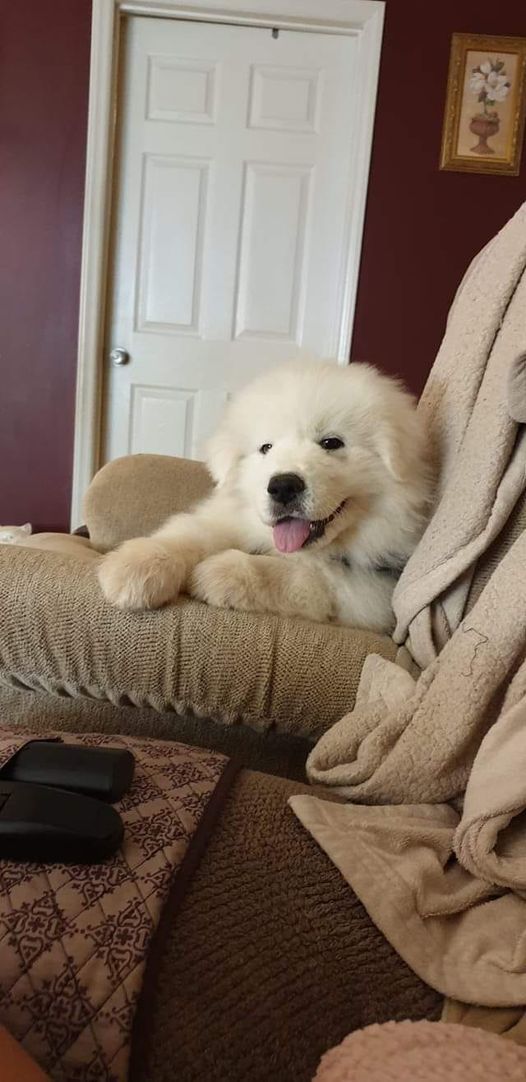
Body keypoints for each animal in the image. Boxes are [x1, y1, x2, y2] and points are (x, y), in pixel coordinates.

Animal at [98, 363, 430, 631]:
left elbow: (301, 575)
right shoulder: (228, 519)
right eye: (266, 448)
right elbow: (191, 534)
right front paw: (133, 568)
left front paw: (216, 573)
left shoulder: (372, 590)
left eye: (331, 443)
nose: (283, 486)